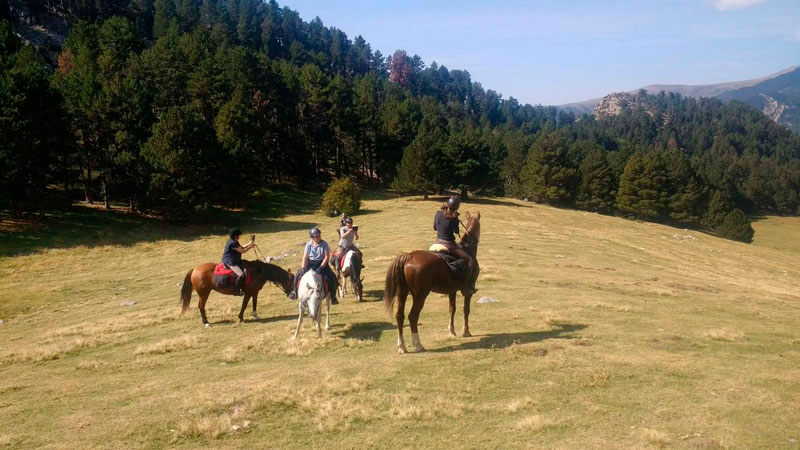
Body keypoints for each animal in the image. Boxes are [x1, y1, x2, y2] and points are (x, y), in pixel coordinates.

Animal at [382, 209, 478, 354]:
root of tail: (408, 256)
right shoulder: (467, 292)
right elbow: (466, 309)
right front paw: (466, 331)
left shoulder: (452, 291)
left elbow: (452, 309)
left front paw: (452, 332)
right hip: (420, 295)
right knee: (412, 316)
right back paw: (418, 345)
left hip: (402, 293)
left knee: (400, 316)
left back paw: (402, 346)